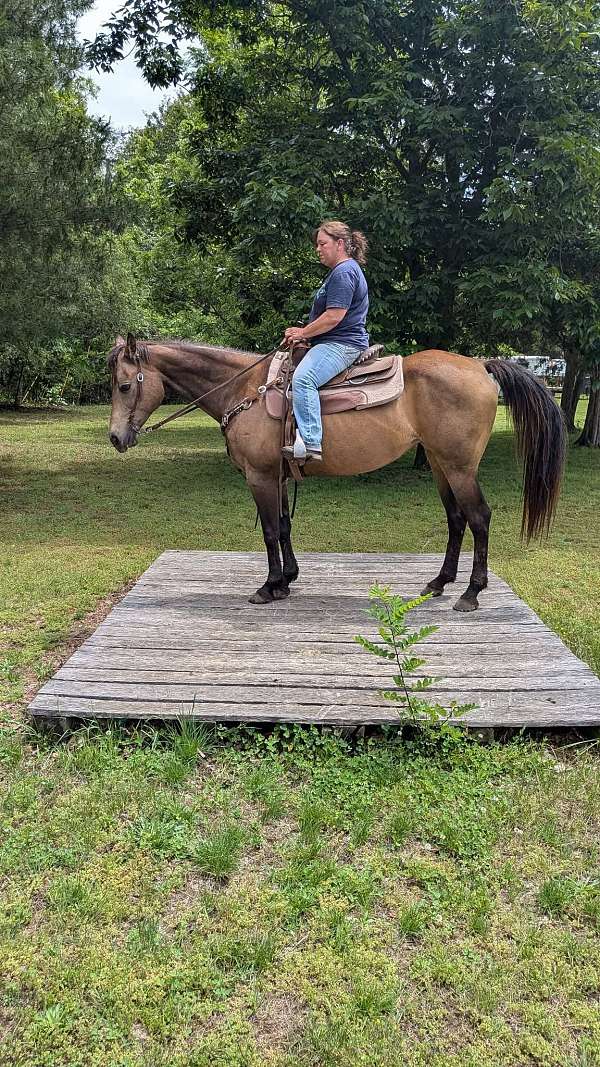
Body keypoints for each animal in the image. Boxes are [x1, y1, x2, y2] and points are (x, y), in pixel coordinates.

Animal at [107, 333, 566, 611]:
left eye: (125, 386)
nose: (115, 438)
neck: (245, 391)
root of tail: (479, 365)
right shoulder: (278, 476)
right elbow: (286, 526)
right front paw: (287, 580)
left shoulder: (259, 476)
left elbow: (269, 531)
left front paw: (269, 586)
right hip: (440, 464)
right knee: (456, 520)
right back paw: (439, 582)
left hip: (459, 466)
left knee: (479, 518)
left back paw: (471, 592)